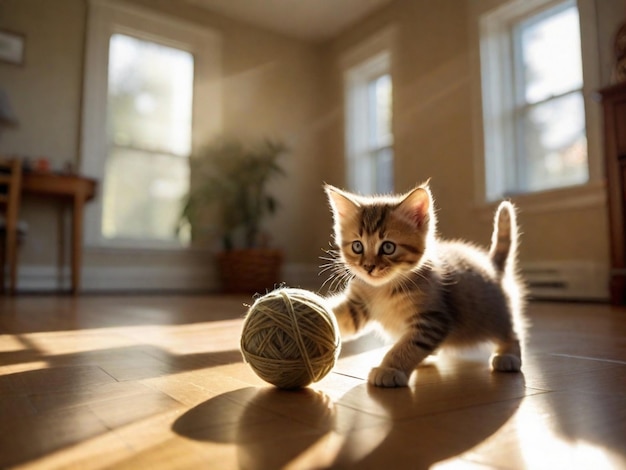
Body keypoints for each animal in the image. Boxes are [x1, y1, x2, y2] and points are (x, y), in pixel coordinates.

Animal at [324, 182, 524, 388]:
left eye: (388, 247)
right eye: (357, 246)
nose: (368, 267)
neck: (382, 288)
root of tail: (493, 266)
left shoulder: (433, 320)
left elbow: (409, 345)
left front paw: (390, 369)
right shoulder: (358, 305)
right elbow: (340, 317)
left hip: (495, 315)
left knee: (512, 332)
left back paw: (508, 356)